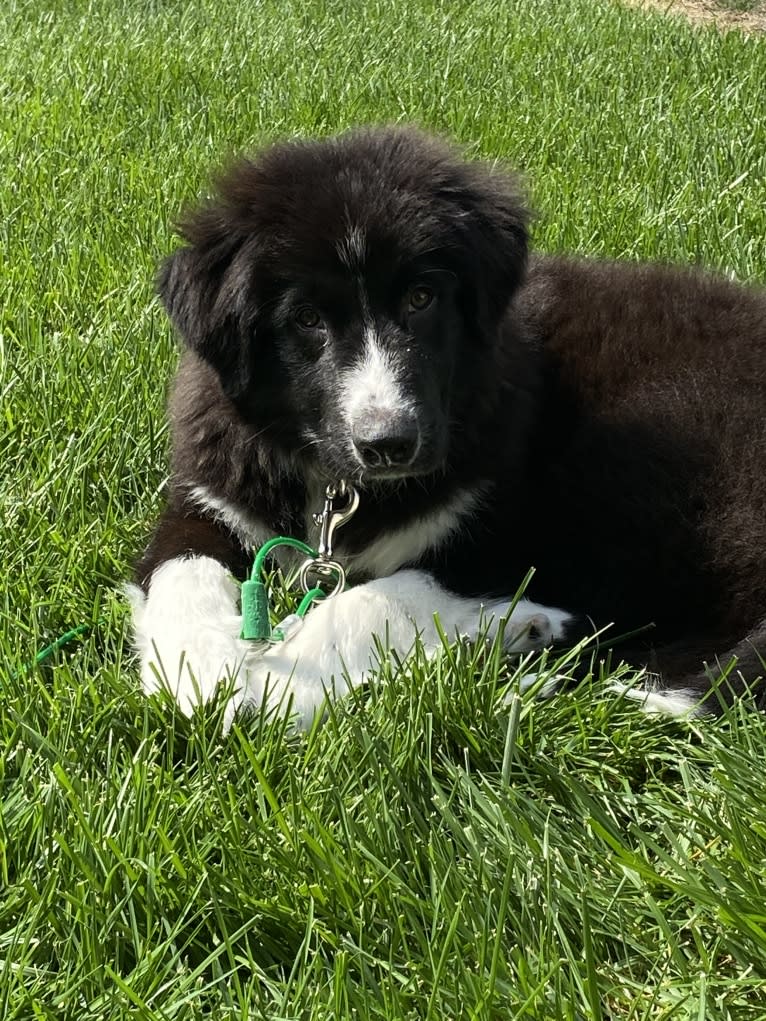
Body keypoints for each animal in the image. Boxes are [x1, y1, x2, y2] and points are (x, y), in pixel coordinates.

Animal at [127, 125, 766, 726]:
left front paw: (277, 685)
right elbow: (181, 571)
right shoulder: (208, 495)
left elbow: (375, 598)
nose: (389, 445)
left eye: (421, 298)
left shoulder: (504, 537)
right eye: (306, 318)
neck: (335, 487)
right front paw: (204, 669)